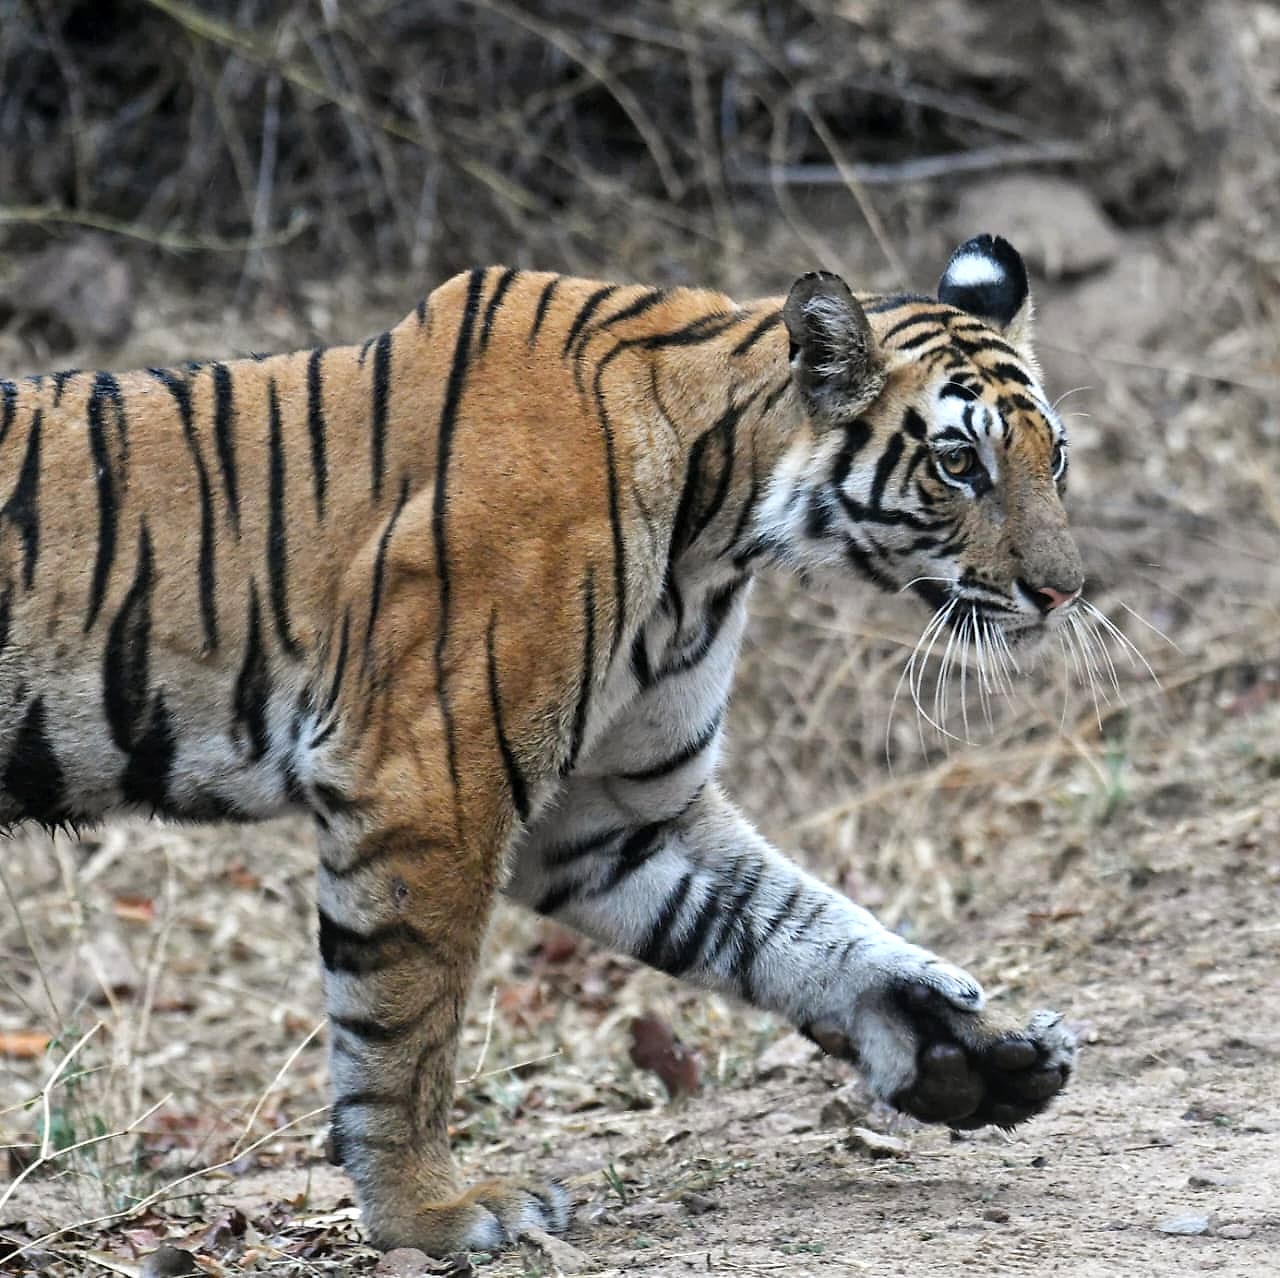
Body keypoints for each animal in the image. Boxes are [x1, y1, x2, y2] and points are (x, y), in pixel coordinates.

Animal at [2, 233, 1081, 1255]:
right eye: (958, 463)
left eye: (1055, 456)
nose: (1066, 591)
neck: (718, 527)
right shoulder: (430, 783)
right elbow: (404, 1026)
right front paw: (431, 1211)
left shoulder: (617, 813)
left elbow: (779, 922)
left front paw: (959, 1048)